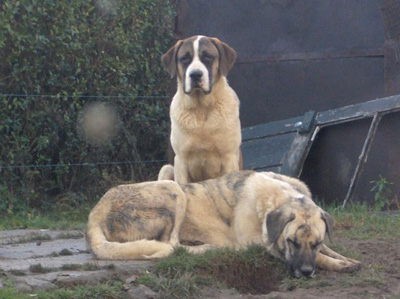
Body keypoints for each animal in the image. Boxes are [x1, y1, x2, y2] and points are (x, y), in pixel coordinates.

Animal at [86, 171, 360, 278]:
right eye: (290, 241)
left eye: (316, 242)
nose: (305, 272)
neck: (277, 197)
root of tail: (93, 217)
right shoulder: (266, 245)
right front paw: (339, 265)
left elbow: (330, 250)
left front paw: (345, 259)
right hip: (173, 188)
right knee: (171, 245)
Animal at [159, 35, 241, 185]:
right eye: (184, 58)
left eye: (208, 57)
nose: (195, 74)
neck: (201, 110)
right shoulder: (181, 160)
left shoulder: (229, 157)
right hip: (167, 169)